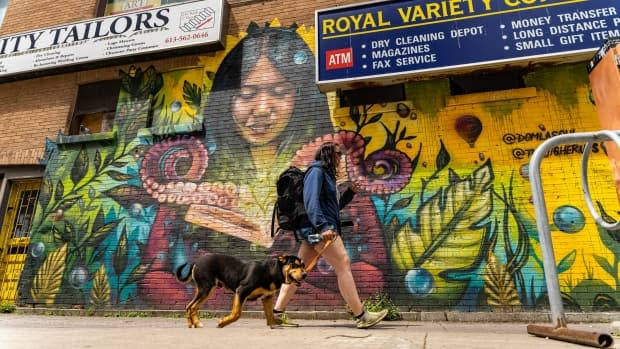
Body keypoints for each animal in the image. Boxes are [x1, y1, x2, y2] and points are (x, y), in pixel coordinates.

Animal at [174, 254, 306, 328]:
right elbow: (236, 313)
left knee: (191, 306)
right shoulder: (241, 291)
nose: (305, 274)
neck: (271, 271)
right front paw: (223, 323)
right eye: (294, 265)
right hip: (206, 288)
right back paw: (195, 324)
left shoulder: (267, 297)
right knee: (191, 306)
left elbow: (270, 314)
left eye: (303, 265)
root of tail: (196, 261)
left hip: (207, 290)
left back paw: (194, 324)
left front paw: (276, 323)